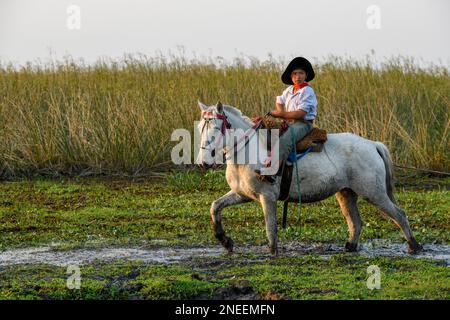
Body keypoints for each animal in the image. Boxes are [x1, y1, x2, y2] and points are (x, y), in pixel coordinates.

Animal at [196, 101, 422, 254]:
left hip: (374, 193)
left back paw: (414, 246)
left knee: (399, 214)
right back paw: (350, 246)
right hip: (346, 193)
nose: (202, 162)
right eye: (200, 128)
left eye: (215, 128)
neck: (249, 153)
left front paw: (272, 253)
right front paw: (225, 240)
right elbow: (215, 207)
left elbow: (270, 229)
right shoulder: (241, 194)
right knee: (355, 222)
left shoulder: (267, 197)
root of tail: (372, 144)